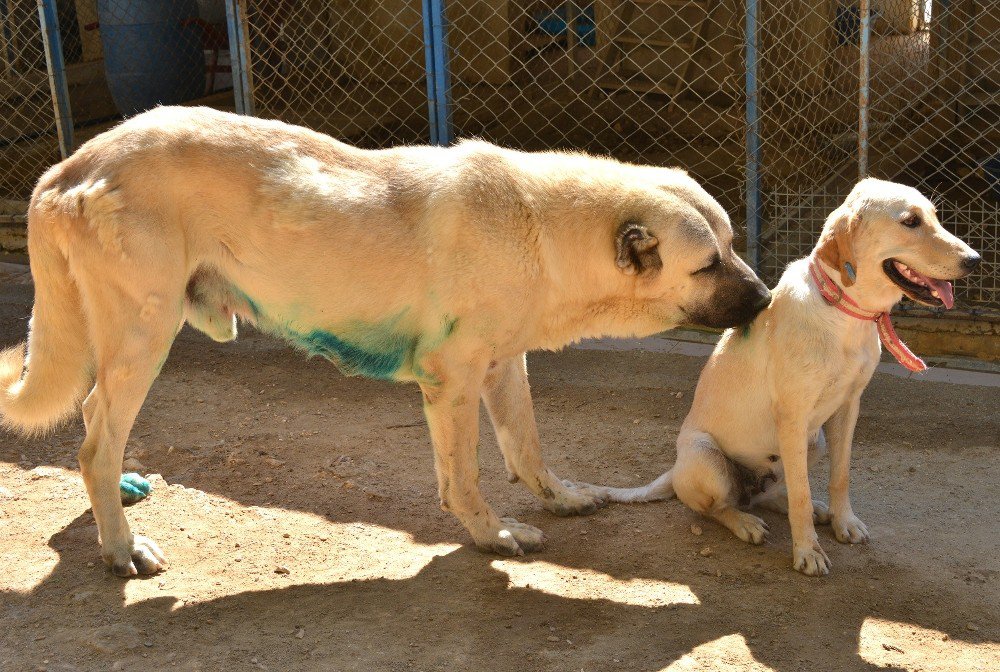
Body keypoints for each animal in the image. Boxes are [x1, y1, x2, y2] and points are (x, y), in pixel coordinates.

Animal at [0, 106, 772, 576]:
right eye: (707, 264)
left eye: (733, 246)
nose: (767, 299)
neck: (545, 227)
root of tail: (70, 164)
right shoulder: (452, 382)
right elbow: (464, 478)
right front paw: (492, 536)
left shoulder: (504, 367)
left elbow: (526, 449)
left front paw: (559, 498)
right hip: (146, 333)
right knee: (95, 441)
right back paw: (119, 549)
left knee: (92, 427)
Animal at [584, 180, 980, 576]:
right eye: (910, 221)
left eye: (935, 216)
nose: (975, 260)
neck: (842, 312)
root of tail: (675, 470)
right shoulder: (793, 417)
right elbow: (801, 496)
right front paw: (807, 551)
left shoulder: (848, 408)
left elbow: (840, 477)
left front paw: (843, 522)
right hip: (707, 458)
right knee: (720, 507)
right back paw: (745, 523)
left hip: (814, 442)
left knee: (771, 492)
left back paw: (802, 507)